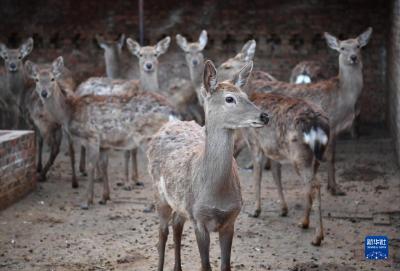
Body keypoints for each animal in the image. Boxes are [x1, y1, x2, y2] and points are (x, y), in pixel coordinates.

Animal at [25, 55, 179, 210]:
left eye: (52, 79)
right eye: (36, 79)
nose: (44, 93)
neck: (69, 113)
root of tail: (172, 111)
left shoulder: (92, 136)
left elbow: (91, 165)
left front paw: (87, 202)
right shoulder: (104, 143)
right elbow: (104, 165)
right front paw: (104, 198)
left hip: (147, 137)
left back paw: (151, 205)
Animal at [147, 60, 268, 270]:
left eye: (246, 95)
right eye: (229, 99)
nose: (264, 116)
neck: (215, 193)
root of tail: (169, 124)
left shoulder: (230, 220)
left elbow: (225, 265)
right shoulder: (199, 219)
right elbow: (206, 265)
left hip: (182, 204)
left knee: (176, 225)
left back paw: (178, 267)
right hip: (160, 195)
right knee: (162, 233)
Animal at [241, 93, 332, 246]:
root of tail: (316, 124)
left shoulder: (255, 144)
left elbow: (257, 177)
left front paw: (255, 211)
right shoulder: (274, 153)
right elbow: (276, 176)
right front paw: (283, 210)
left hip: (299, 155)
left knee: (314, 185)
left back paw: (317, 237)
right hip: (316, 157)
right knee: (310, 185)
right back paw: (303, 222)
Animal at [247, 27, 372, 197]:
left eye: (358, 46)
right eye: (342, 48)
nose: (353, 57)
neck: (343, 98)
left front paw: (332, 186)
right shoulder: (331, 122)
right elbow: (331, 157)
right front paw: (335, 188)